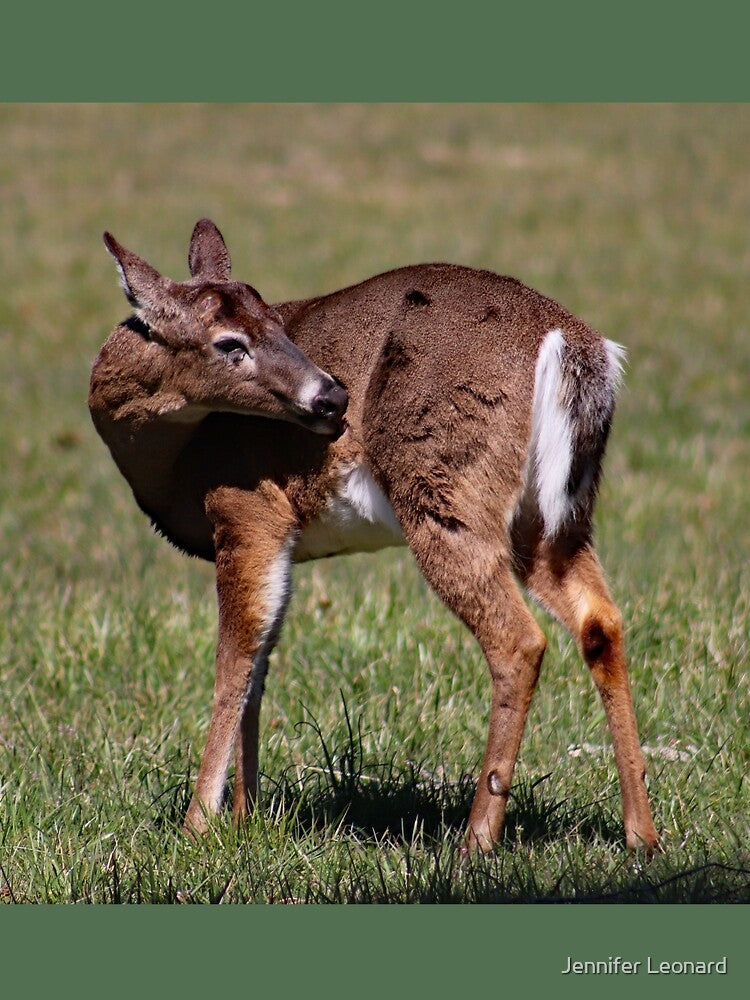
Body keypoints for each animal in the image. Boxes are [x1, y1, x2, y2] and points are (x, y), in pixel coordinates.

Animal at [88, 219, 659, 857]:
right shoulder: (281, 538)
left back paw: (475, 841)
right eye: (230, 341)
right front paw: (244, 816)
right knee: (600, 622)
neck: (172, 461)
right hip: (553, 518)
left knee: (518, 640)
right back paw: (642, 834)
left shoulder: (247, 509)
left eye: (275, 323)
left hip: (444, 488)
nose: (332, 396)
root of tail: (574, 347)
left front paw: (200, 823)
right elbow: (261, 663)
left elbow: (236, 656)